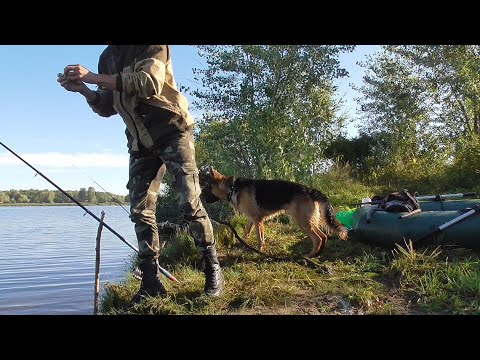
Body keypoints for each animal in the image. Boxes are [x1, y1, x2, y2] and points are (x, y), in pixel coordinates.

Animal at [199, 167, 348, 258]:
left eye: (207, 188)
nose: (202, 198)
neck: (232, 187)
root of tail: (311, 190)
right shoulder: (252, 219)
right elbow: (247, 232)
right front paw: (243, 244)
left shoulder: (257, 220)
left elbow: (260, 238)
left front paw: (258, 251)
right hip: (307, 222)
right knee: (323, 236)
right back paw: (317, 254)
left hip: (303, 223)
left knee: (318, 238)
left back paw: (310, 255)